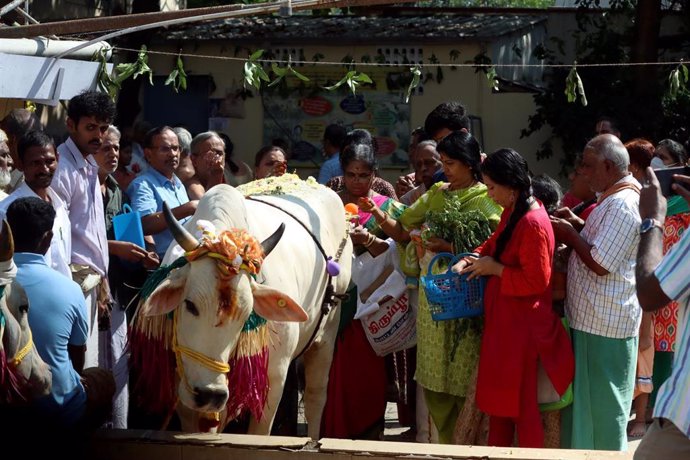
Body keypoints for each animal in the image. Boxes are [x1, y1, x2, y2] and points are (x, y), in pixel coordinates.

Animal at [131, 175, 352, 434]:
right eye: (190, 305)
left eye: (247, 314)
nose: (210, 394)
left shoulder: (272, 379)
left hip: (326, 336)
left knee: (315, 398)